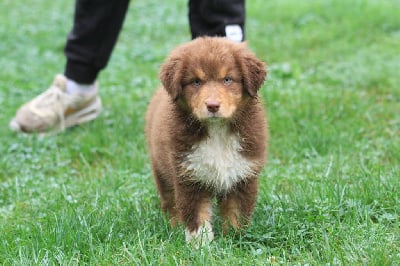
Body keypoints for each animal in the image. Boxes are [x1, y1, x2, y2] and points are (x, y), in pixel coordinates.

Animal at [145, 36, 268, 246]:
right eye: (196, 81)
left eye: (227, 79)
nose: (212, 105)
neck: (217, 131)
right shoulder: (189, 176)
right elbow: (197, 216)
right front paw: (201, 246)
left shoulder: (242, 175)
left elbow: (236, 214)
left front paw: (234, 240)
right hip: (161, 168)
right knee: (170, 202)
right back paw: (173, 227)